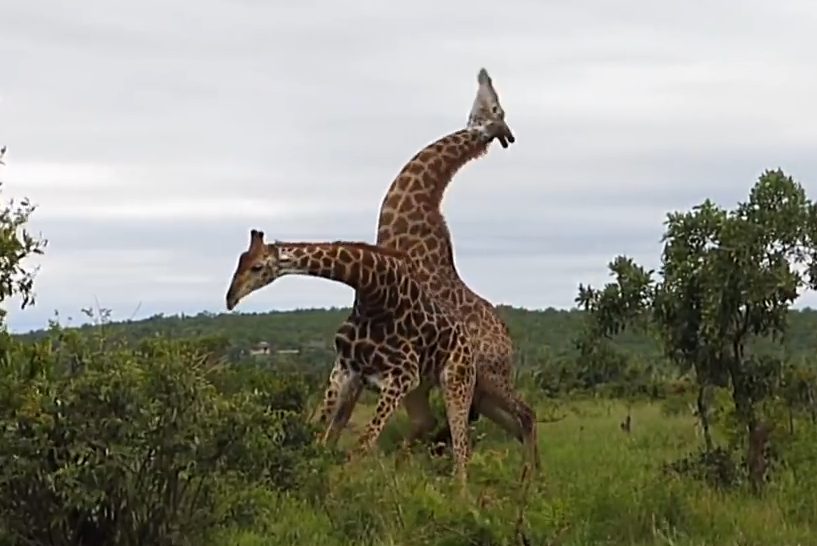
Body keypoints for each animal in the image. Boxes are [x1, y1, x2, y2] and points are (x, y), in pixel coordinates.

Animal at [225, 227, 478, 486]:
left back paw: (459, 491)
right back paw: (400, 471)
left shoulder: (402, 377)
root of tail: (467, 340)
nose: (230, 298)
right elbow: (323, 432)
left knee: (461, 446)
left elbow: (362, 444)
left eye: (257, 267)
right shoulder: (346, 367)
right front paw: (315, 472)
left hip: (457, 381)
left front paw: (342, 485)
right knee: (427, 422)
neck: (374, 293)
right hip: (420, 387)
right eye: (240, 260)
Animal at [314, 67, 540, 468]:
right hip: (481, 390)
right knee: (509, 422)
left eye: (495, 106)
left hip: (484, 378)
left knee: (523, 416)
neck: (410, 218)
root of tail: (508, 347)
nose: (484, 74)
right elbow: (337, 418)